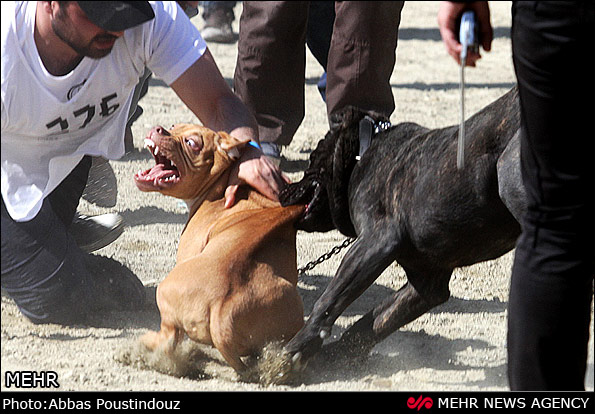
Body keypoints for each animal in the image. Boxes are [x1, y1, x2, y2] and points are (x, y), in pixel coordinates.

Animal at [133, 124, 304, 374]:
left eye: (192, 143)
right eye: (174, 127)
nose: (159, 128)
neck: (220, 186)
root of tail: (222, 309)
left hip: (164, 294)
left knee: (168, 339)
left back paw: (143, 345)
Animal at [280, 86, 528, 372]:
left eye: (312, 157)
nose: (282, 191)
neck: (362, 153)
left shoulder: (374, 243)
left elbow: (328, 301)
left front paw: (291, 352)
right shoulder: (427, 283)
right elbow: (373, 322)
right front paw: (335, 356)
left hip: (510, 176)